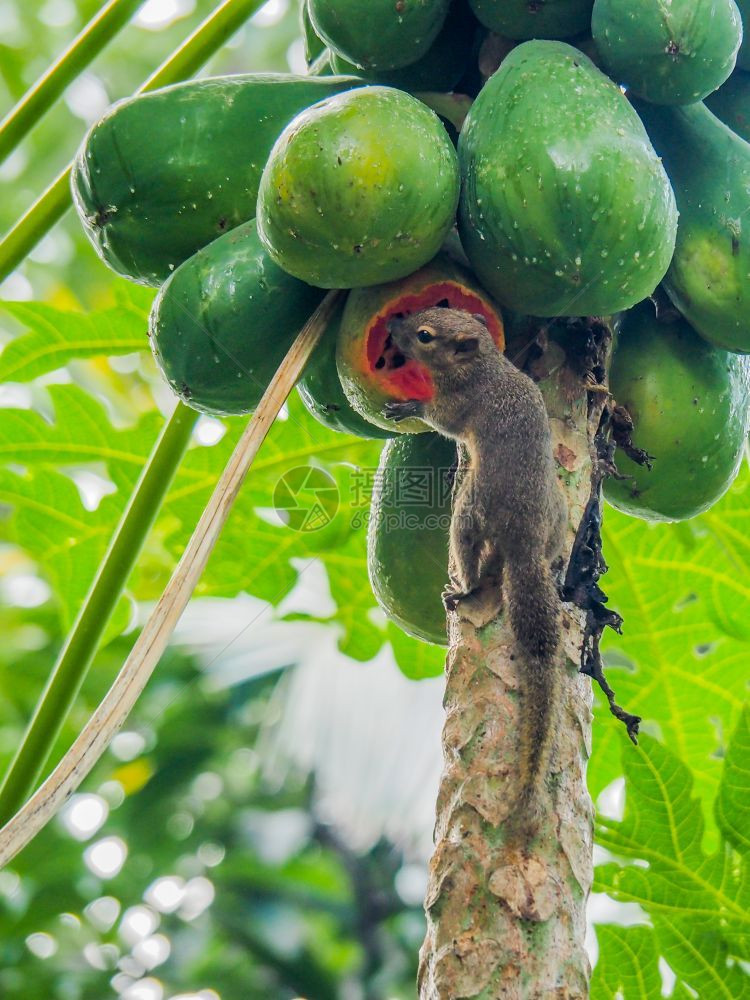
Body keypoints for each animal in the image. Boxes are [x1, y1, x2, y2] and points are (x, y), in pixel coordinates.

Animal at [384, 306, 568, 828]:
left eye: (425, 335)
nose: (392, 326)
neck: (485, 365)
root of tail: (527, 542)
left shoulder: (458, 404)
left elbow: (440, 419)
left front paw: (409, 407)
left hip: (471, 508)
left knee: (467, 545)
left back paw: (463, 589)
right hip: (558, 516)